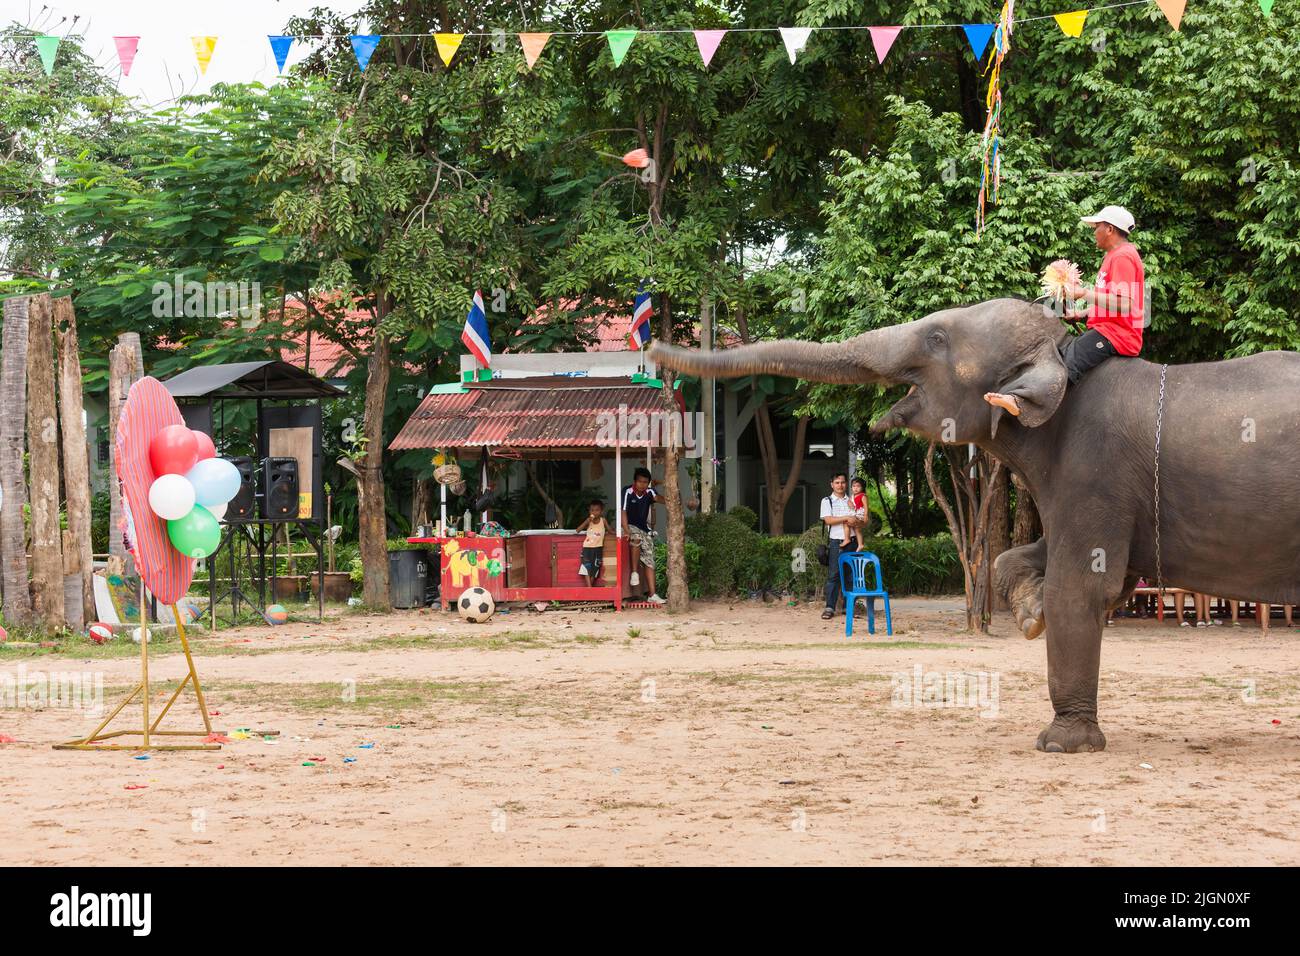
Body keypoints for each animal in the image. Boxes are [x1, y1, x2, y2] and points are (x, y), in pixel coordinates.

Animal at [649, 298, 1300, 753]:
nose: (652, 350)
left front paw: (1060, 744)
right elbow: (1027, 560)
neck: (1062, 361)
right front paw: (1031, 615)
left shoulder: (1098, 470)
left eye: (937, 338)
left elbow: (1083, 587)